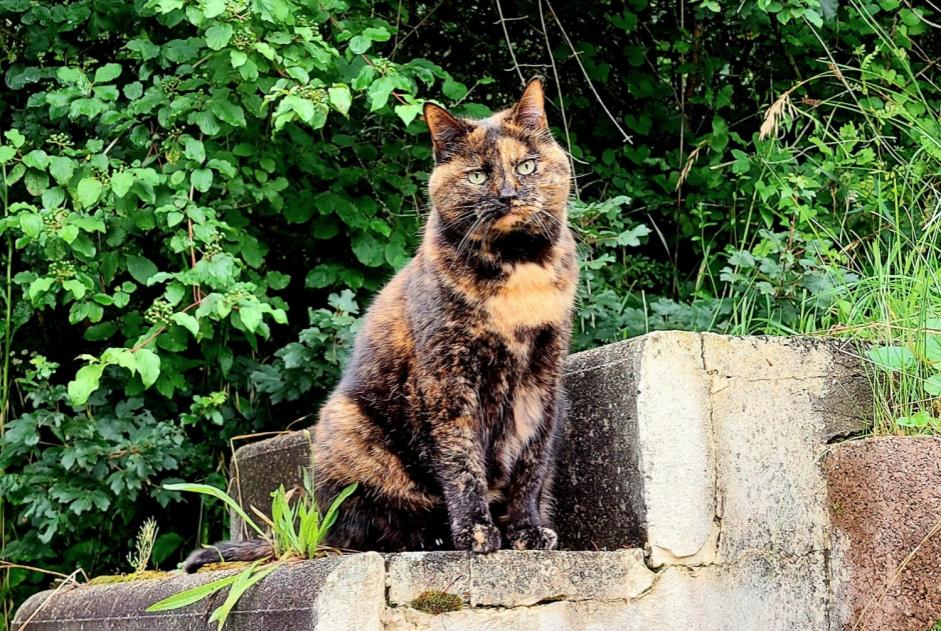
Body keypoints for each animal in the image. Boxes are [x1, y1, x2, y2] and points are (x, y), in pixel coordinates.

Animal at [185, 78, 576, 572]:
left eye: (526, 166)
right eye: (477, 176)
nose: (508, 195)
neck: (517, 270)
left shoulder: (542, 376)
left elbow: (530, 461)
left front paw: (527, 531)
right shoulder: (449, 379)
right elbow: (462, 461)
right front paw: (476, 533)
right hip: (347, 425)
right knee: (365, 526)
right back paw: (434, 537)